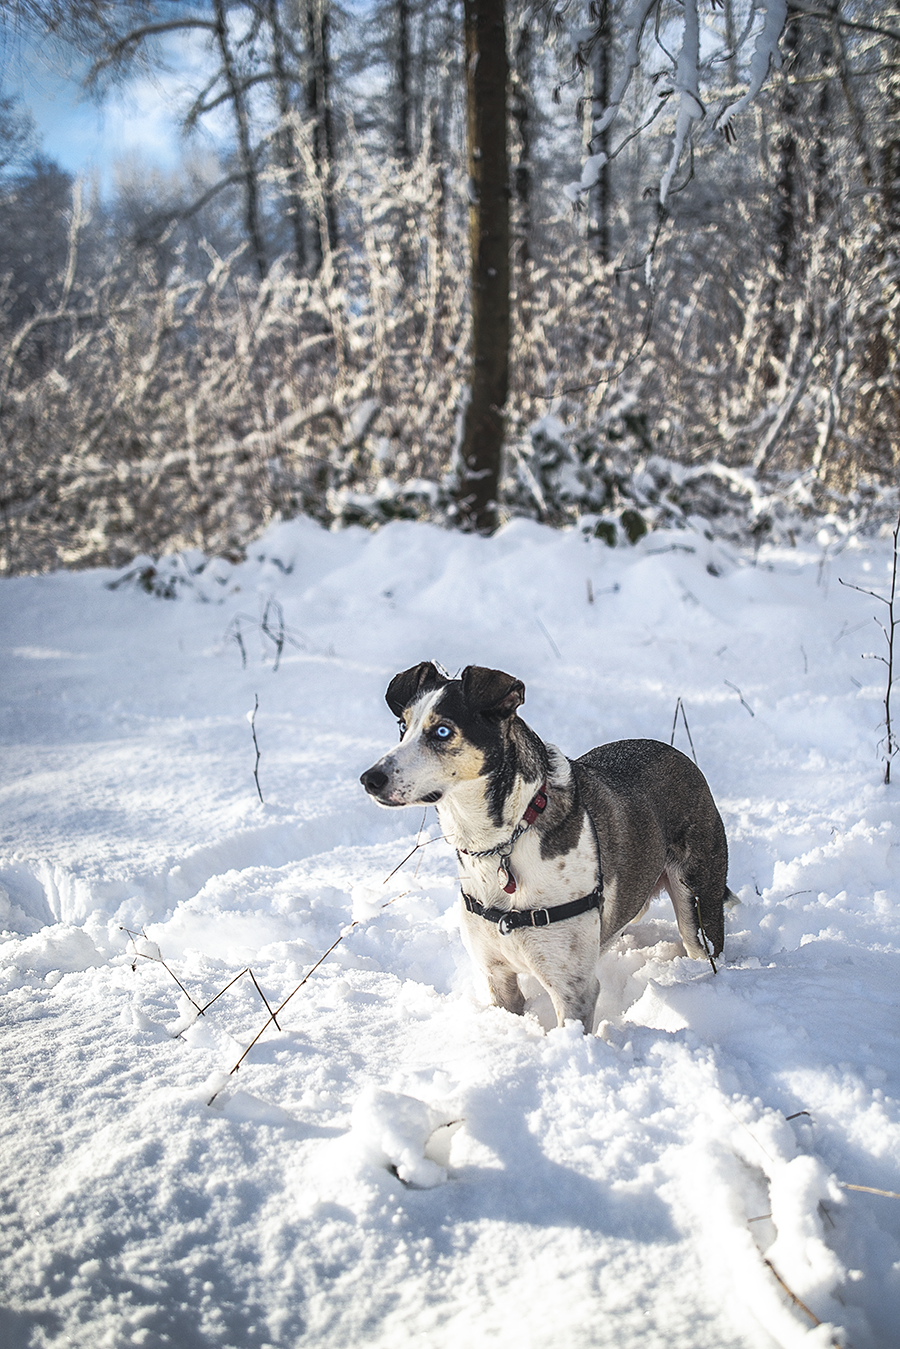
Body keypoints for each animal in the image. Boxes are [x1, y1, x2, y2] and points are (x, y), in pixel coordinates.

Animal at [358, 663, 734, 1030]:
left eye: (442, 731)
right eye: (402, 726)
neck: (500, 841)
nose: (369, 779)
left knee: (702, 941)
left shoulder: (572, 988)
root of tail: (677, 753)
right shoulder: (497, 975)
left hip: (697, 898)